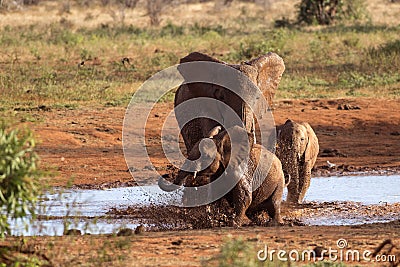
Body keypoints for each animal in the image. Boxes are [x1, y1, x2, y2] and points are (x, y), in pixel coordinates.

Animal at [159, 126, 288, 227]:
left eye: (206, 156)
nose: (164, 175)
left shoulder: (241, 170)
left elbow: (245, 197)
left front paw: (233, 224)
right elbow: (215, 195)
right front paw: (213, 222)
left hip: (279, 182)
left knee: (274, 204)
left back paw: (275, 224)